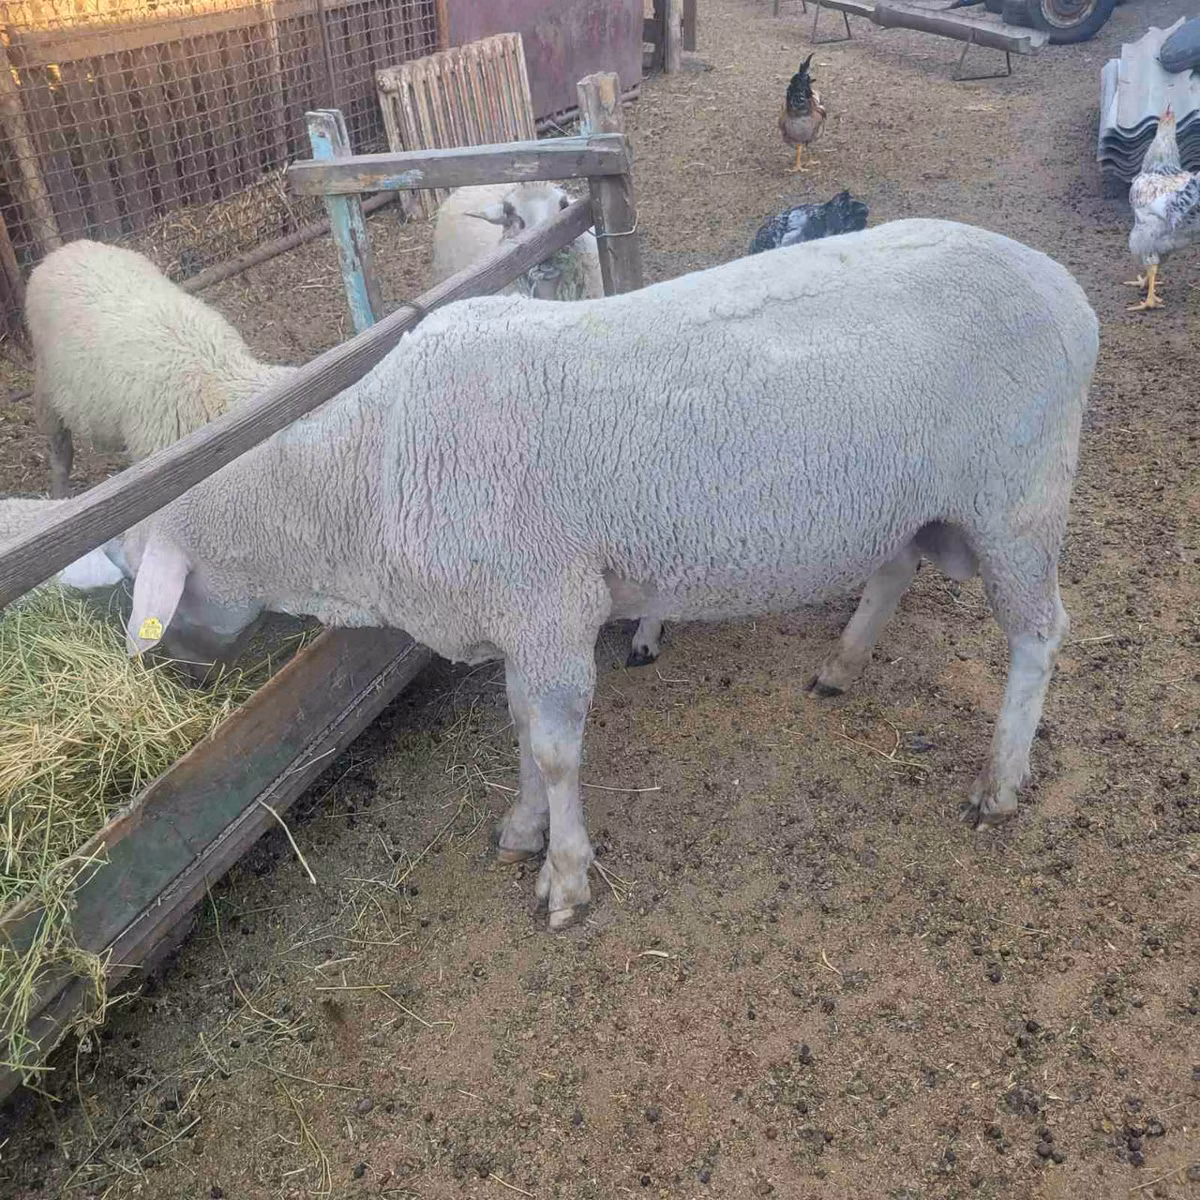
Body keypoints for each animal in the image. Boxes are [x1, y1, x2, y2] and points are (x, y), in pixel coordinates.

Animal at [103, 218, 1098, 931]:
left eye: (151, 586)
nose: (176, 671)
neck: (367, 472)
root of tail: (1066, 289)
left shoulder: (548, 601)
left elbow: (553, 749)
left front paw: (565, 877)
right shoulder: (516, 612)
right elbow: (518, 729)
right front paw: (522, 827)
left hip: (1018, 499)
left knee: (1039, 635)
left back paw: (1002, 781)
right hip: (906, 496)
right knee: (892, 573)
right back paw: (841, 667)